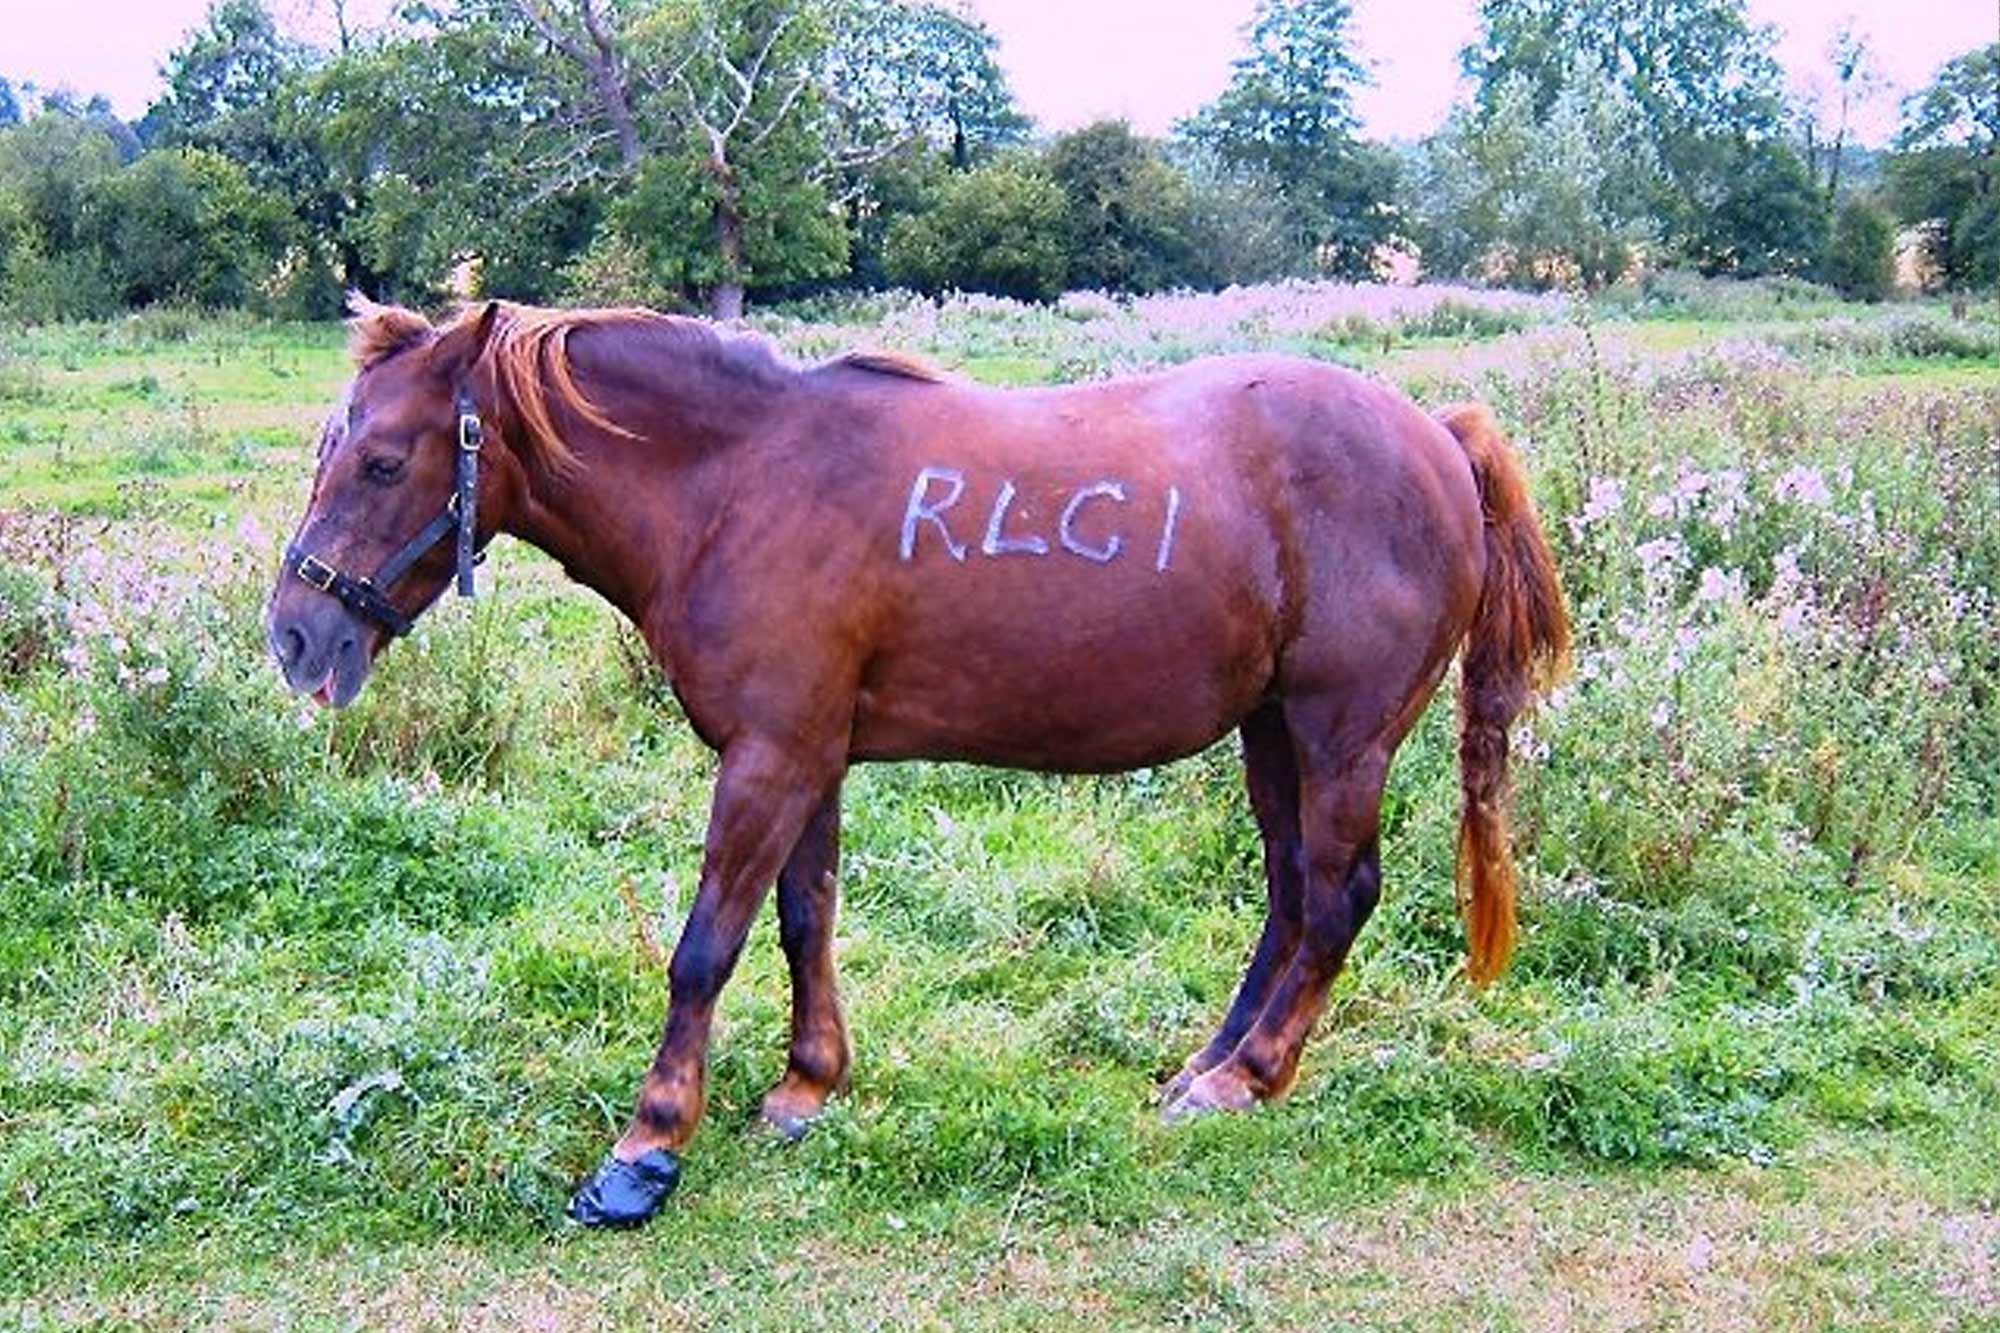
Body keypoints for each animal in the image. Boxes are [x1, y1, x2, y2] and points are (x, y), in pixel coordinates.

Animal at [266, 296, 1568, 1232]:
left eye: (382, 460)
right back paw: (1213, 1060)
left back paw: (1246, 1076)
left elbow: (705, 949)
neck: (737, 484)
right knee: (1293, 894)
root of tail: (1437, 439)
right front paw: (806, 1084)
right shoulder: (808, 754)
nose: (294, 636)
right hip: (1273, 734)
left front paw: (647, 1149)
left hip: (1340, 736)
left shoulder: (769, 757)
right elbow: (805, 918)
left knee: (1339, 897)